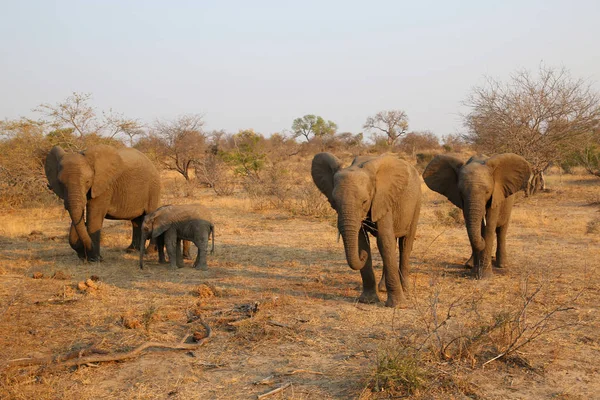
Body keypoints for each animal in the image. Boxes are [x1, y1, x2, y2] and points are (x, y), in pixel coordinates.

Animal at [312, 152, 420, 308]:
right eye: (334, 202)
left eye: (364, 201)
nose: (361, 256)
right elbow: (362, 241)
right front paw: (368, 300)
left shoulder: (382, 198)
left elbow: (384, 241)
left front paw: (397, 305)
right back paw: (382, 288)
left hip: (417, 202)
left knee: (405, 244)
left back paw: (406, 288)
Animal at [422, 152, 528, 280]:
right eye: (461, 192)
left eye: (487, 192)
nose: (481, 240)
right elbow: (470, 226)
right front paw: (474, 273)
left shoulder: (495, 197)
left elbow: (488, 229)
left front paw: (485, 276)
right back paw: (469, 265)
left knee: (502, 230)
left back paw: (502, 265)